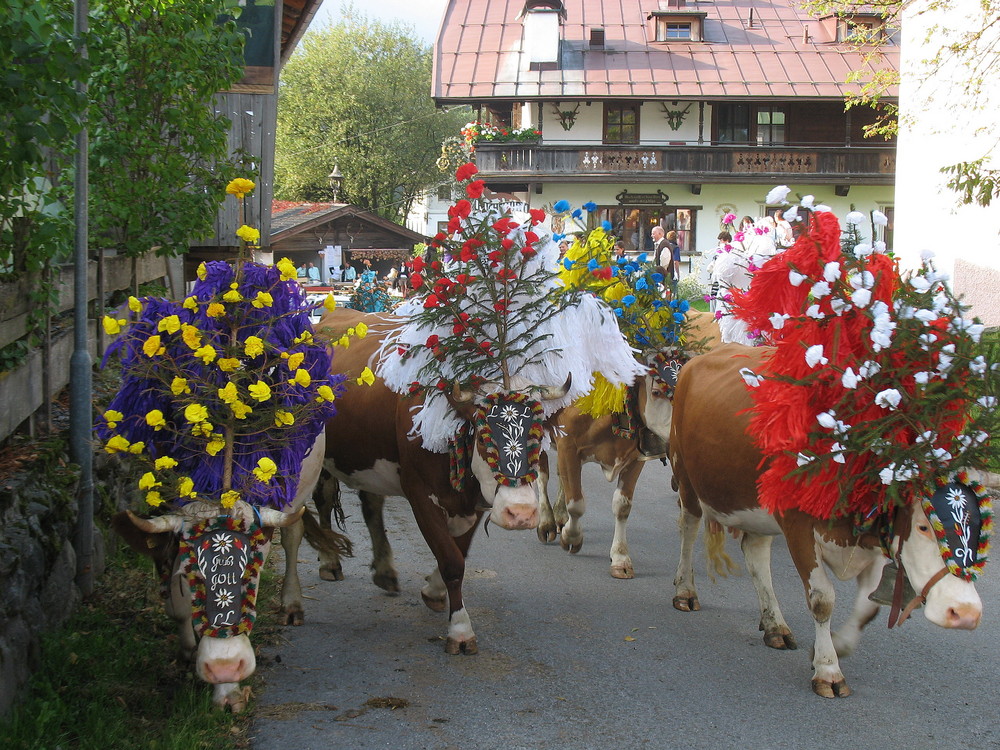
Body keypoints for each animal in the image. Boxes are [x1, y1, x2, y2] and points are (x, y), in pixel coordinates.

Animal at [111, 434, 334, 712]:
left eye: (254, 569)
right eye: (191, 571)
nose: (224, 669)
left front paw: (228, 690)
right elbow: (178, 605)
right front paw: (191, 655)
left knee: (293, 536)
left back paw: (291, 605)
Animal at [316, 308, 572, 656]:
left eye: (538, 433)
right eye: (483, 436)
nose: (520, 514)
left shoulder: (474, 502)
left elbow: (458, 553)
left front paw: (435, 592)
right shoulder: (420, 494)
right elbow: (451, 560)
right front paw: (460, 630)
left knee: (371, 504)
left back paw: (384, 571)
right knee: (322, 499)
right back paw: (329, 562)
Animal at [668, 346, 980, 700]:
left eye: (979, 526)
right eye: (924, 527)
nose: (966, 613)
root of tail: (699, 358)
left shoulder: (872, 540)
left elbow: (867, 607)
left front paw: (836, 648)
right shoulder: (799, 528)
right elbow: (822, 600)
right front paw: (828, 670)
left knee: (756, 554)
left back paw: (774, 624)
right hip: (686, 478)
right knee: (689, 531)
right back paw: (685, 591)